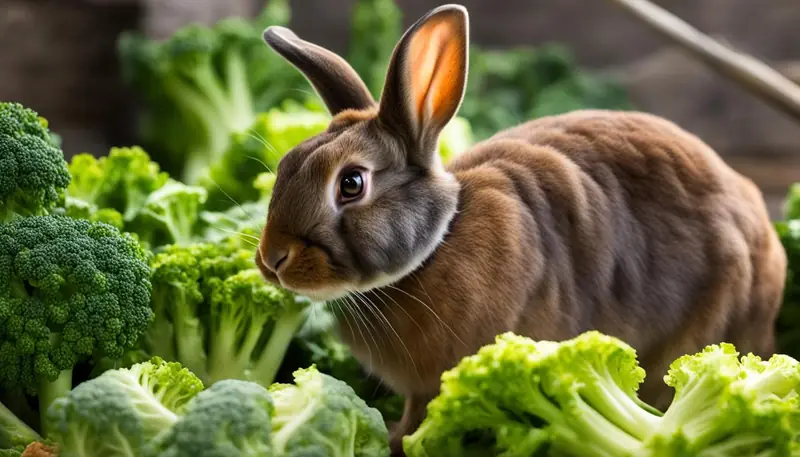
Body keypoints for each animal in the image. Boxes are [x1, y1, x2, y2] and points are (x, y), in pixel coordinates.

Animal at [256, 4, 787, 455]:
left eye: (351, 183)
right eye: (285, 164)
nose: (271, 260)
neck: (436, 246)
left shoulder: (439, 379)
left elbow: (418, 419)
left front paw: (394, 440)